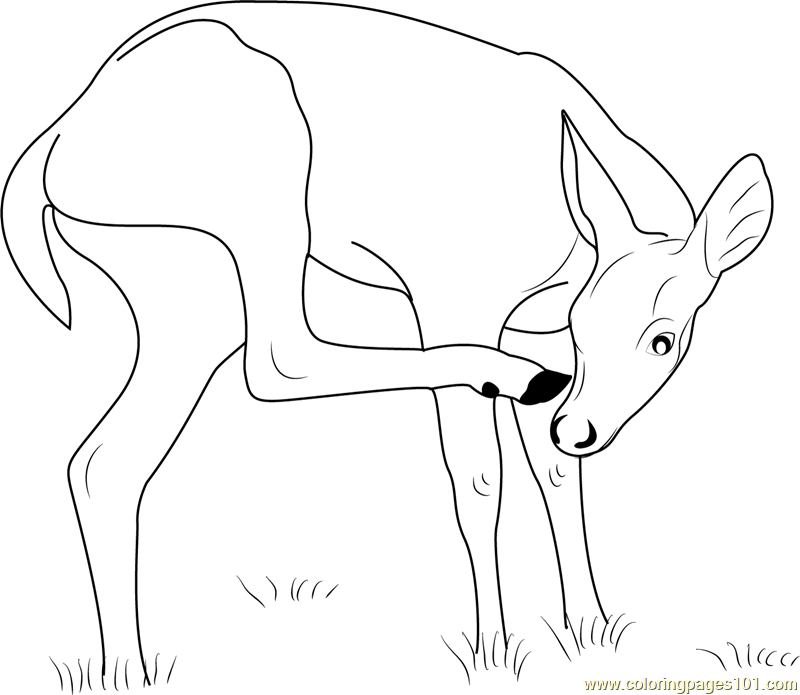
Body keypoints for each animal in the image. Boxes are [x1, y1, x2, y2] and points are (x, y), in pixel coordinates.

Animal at [1, 1, 772, 685]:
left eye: (663, 340)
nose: (579, 427)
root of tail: (55, 140)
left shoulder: (540, 332)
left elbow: (555, 476)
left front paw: (589, 632)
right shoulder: (454, 295)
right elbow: (480, 477)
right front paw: (495, 653)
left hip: (185, 295)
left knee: (104, 461)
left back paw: (126, 670)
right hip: (261, 189)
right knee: (278, 357)